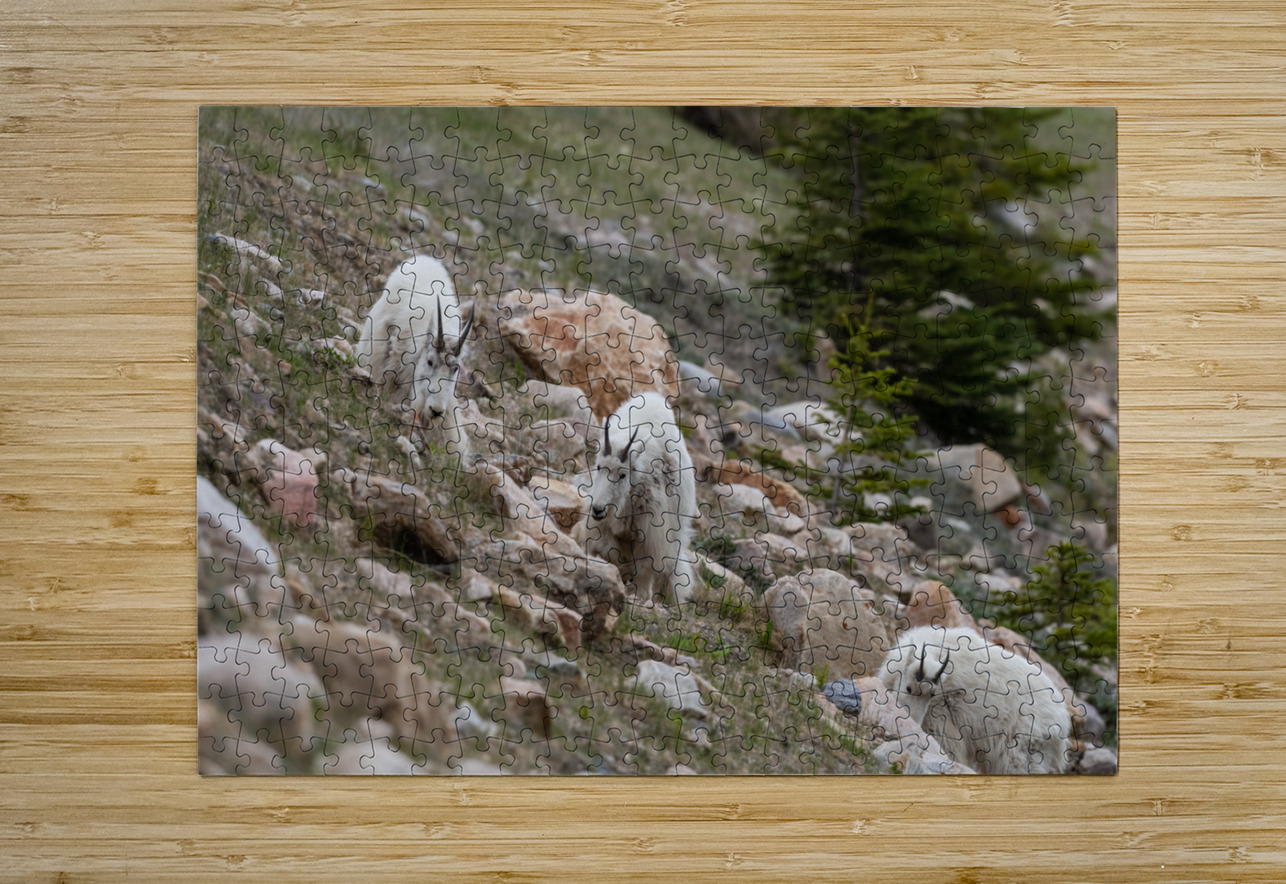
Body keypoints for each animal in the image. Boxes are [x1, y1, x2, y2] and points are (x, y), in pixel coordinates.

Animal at [582, 392, 696, 605]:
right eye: (599, 467)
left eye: (622, 474)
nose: (598, 509)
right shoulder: (604, 527)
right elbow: (610, 552)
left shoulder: (652, 534)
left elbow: (644, 569)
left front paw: (638, 595)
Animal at [879, 625, 1073, 774]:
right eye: (909, 688)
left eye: (932, 694)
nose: (912, 722)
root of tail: (1063, 725)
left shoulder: (942, 720)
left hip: (1023, 750)